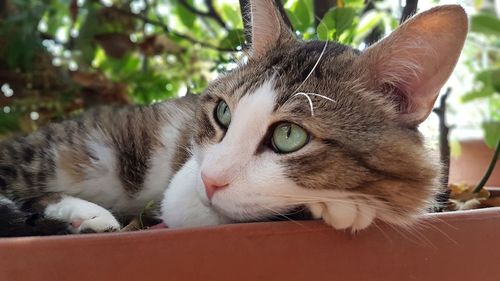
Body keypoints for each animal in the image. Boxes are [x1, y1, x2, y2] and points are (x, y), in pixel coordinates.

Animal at [0, 0, 468, 236]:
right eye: (223, 112)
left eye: (289, 136)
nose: (211, 180)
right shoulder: (182, 195)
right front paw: (343, 207)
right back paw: (86, 214)